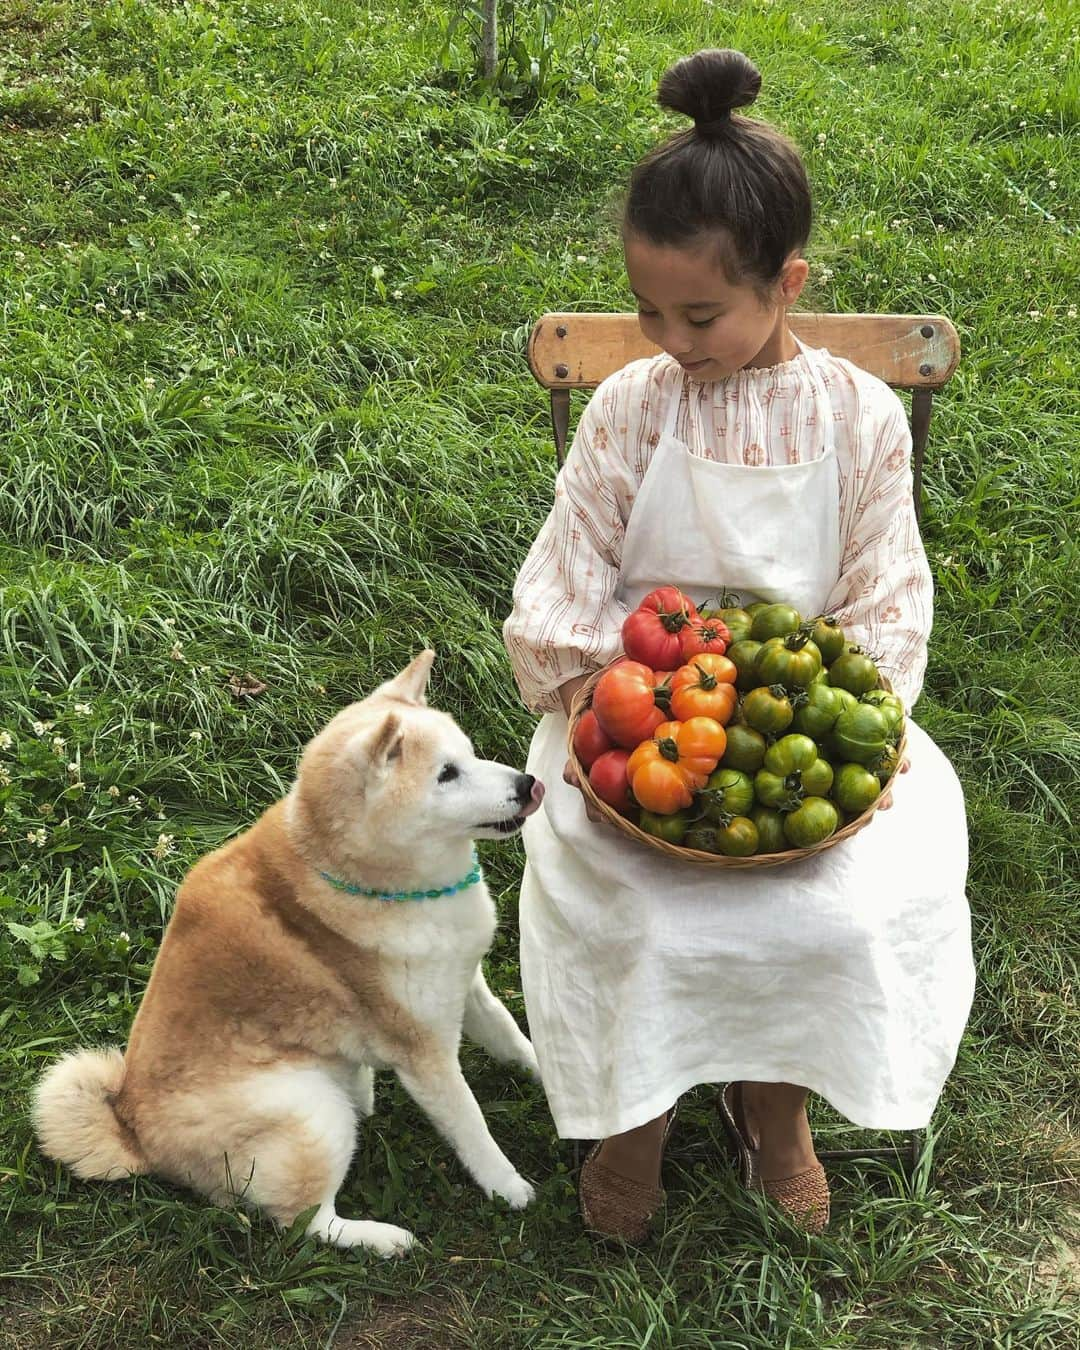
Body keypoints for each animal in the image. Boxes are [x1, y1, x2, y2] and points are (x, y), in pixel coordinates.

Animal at [33, 653, 545, 1252]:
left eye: (468, 753)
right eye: (447, 774)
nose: (528, 782)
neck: (372, 880)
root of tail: (134, 1134)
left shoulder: (465, 984)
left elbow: (517, 1042)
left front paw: (556, 1083)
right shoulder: (424, 1050)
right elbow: (470, 1124)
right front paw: (506, 1186)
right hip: (311, 1111)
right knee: (305, 1223)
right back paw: (382, 1237)